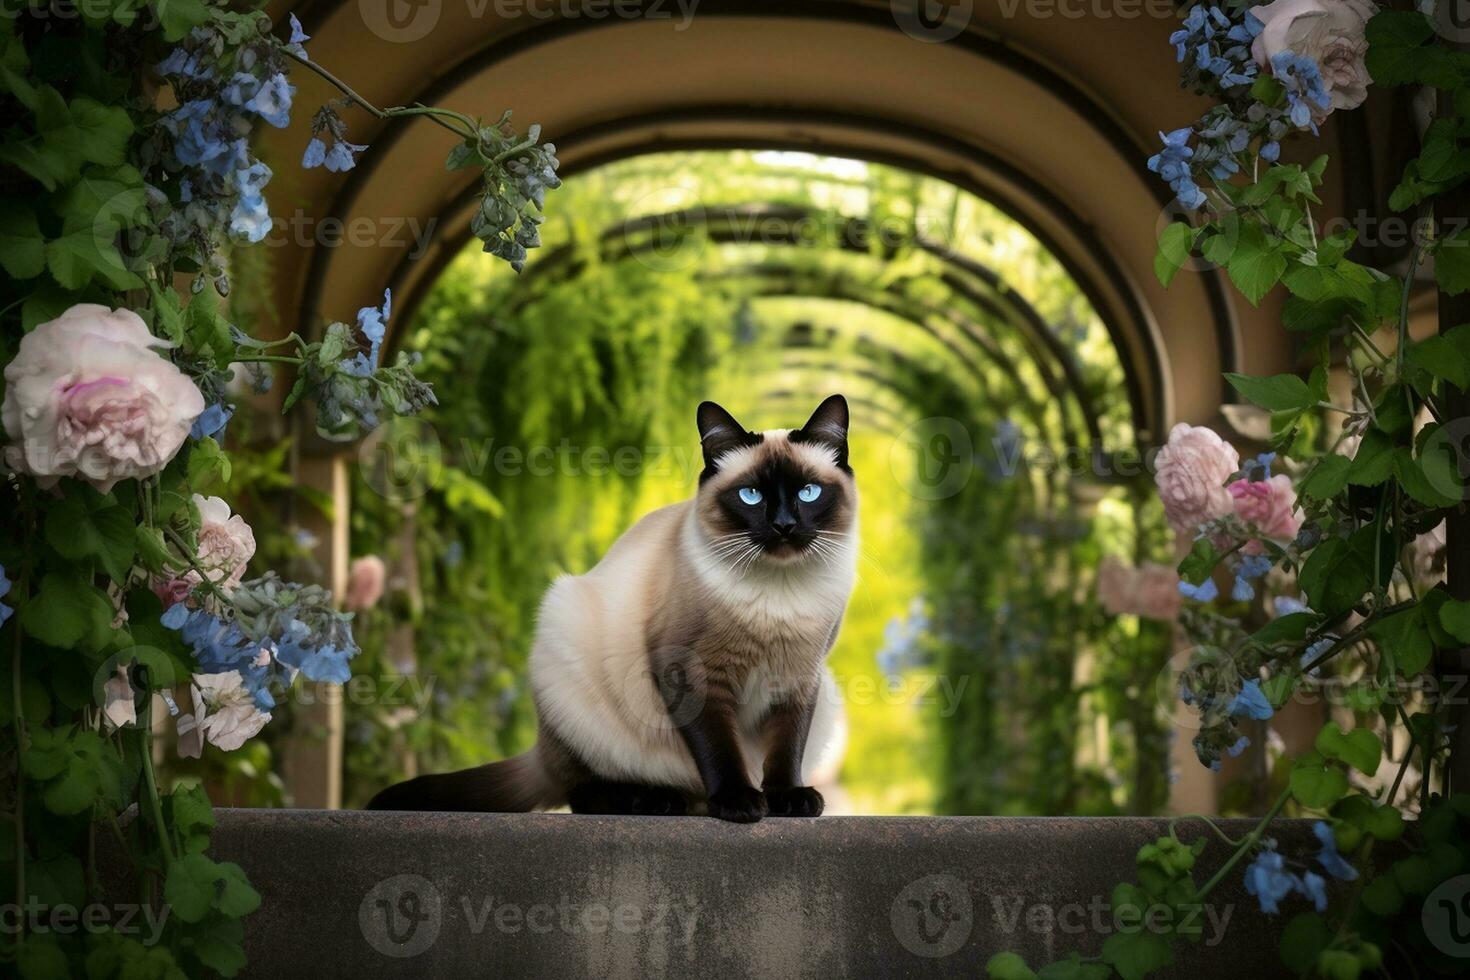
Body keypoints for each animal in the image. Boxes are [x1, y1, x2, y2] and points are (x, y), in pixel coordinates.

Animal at [370, 393, 858, 822]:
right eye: (751, 495)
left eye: (809, 493)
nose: (784, 526)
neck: (780, 595)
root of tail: (542, 748)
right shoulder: (692, 674)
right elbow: (719, 749)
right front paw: (739, 803)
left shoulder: (799, 678)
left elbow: (785, 749)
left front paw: (787, 800)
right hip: (569, 642)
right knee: (584, 792)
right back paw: (657, 800)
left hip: (830, 694)